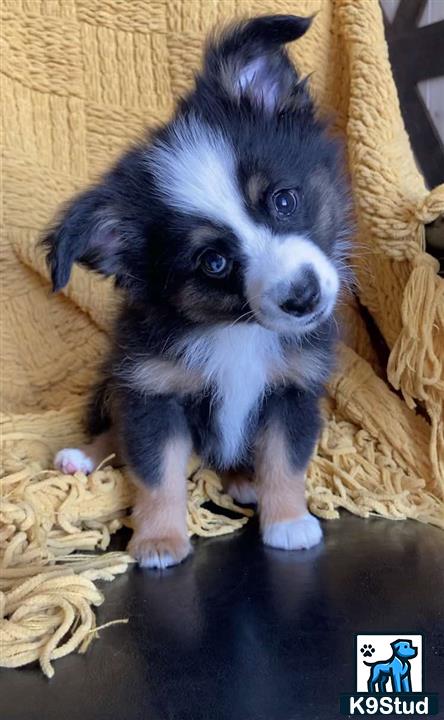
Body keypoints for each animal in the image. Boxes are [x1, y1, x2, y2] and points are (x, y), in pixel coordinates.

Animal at [45, 12, 350, 568]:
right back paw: (83, 456)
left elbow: (285, 460)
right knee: (114, 428)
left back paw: (243, 479)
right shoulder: (152, 391)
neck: (237, 328)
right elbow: (156, 471)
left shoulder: (293, 388)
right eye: (214, 262)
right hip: (117, 378)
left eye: (284, 200)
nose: (304, 297)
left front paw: (288, 521)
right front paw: (159, 540)